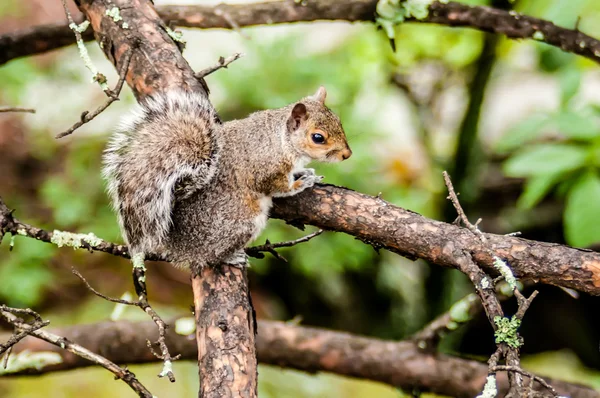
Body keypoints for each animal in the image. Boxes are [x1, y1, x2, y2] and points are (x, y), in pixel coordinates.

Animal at [103, 87, 352, 272]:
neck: (282, 140)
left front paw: (305, 173)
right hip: (241, 222)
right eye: (318, 137)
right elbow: (278, 187)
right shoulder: (265, 170)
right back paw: (229, 257)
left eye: (339, 121)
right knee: (207, 258)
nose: (347, 155)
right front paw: (300, 184)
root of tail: (177, 246)